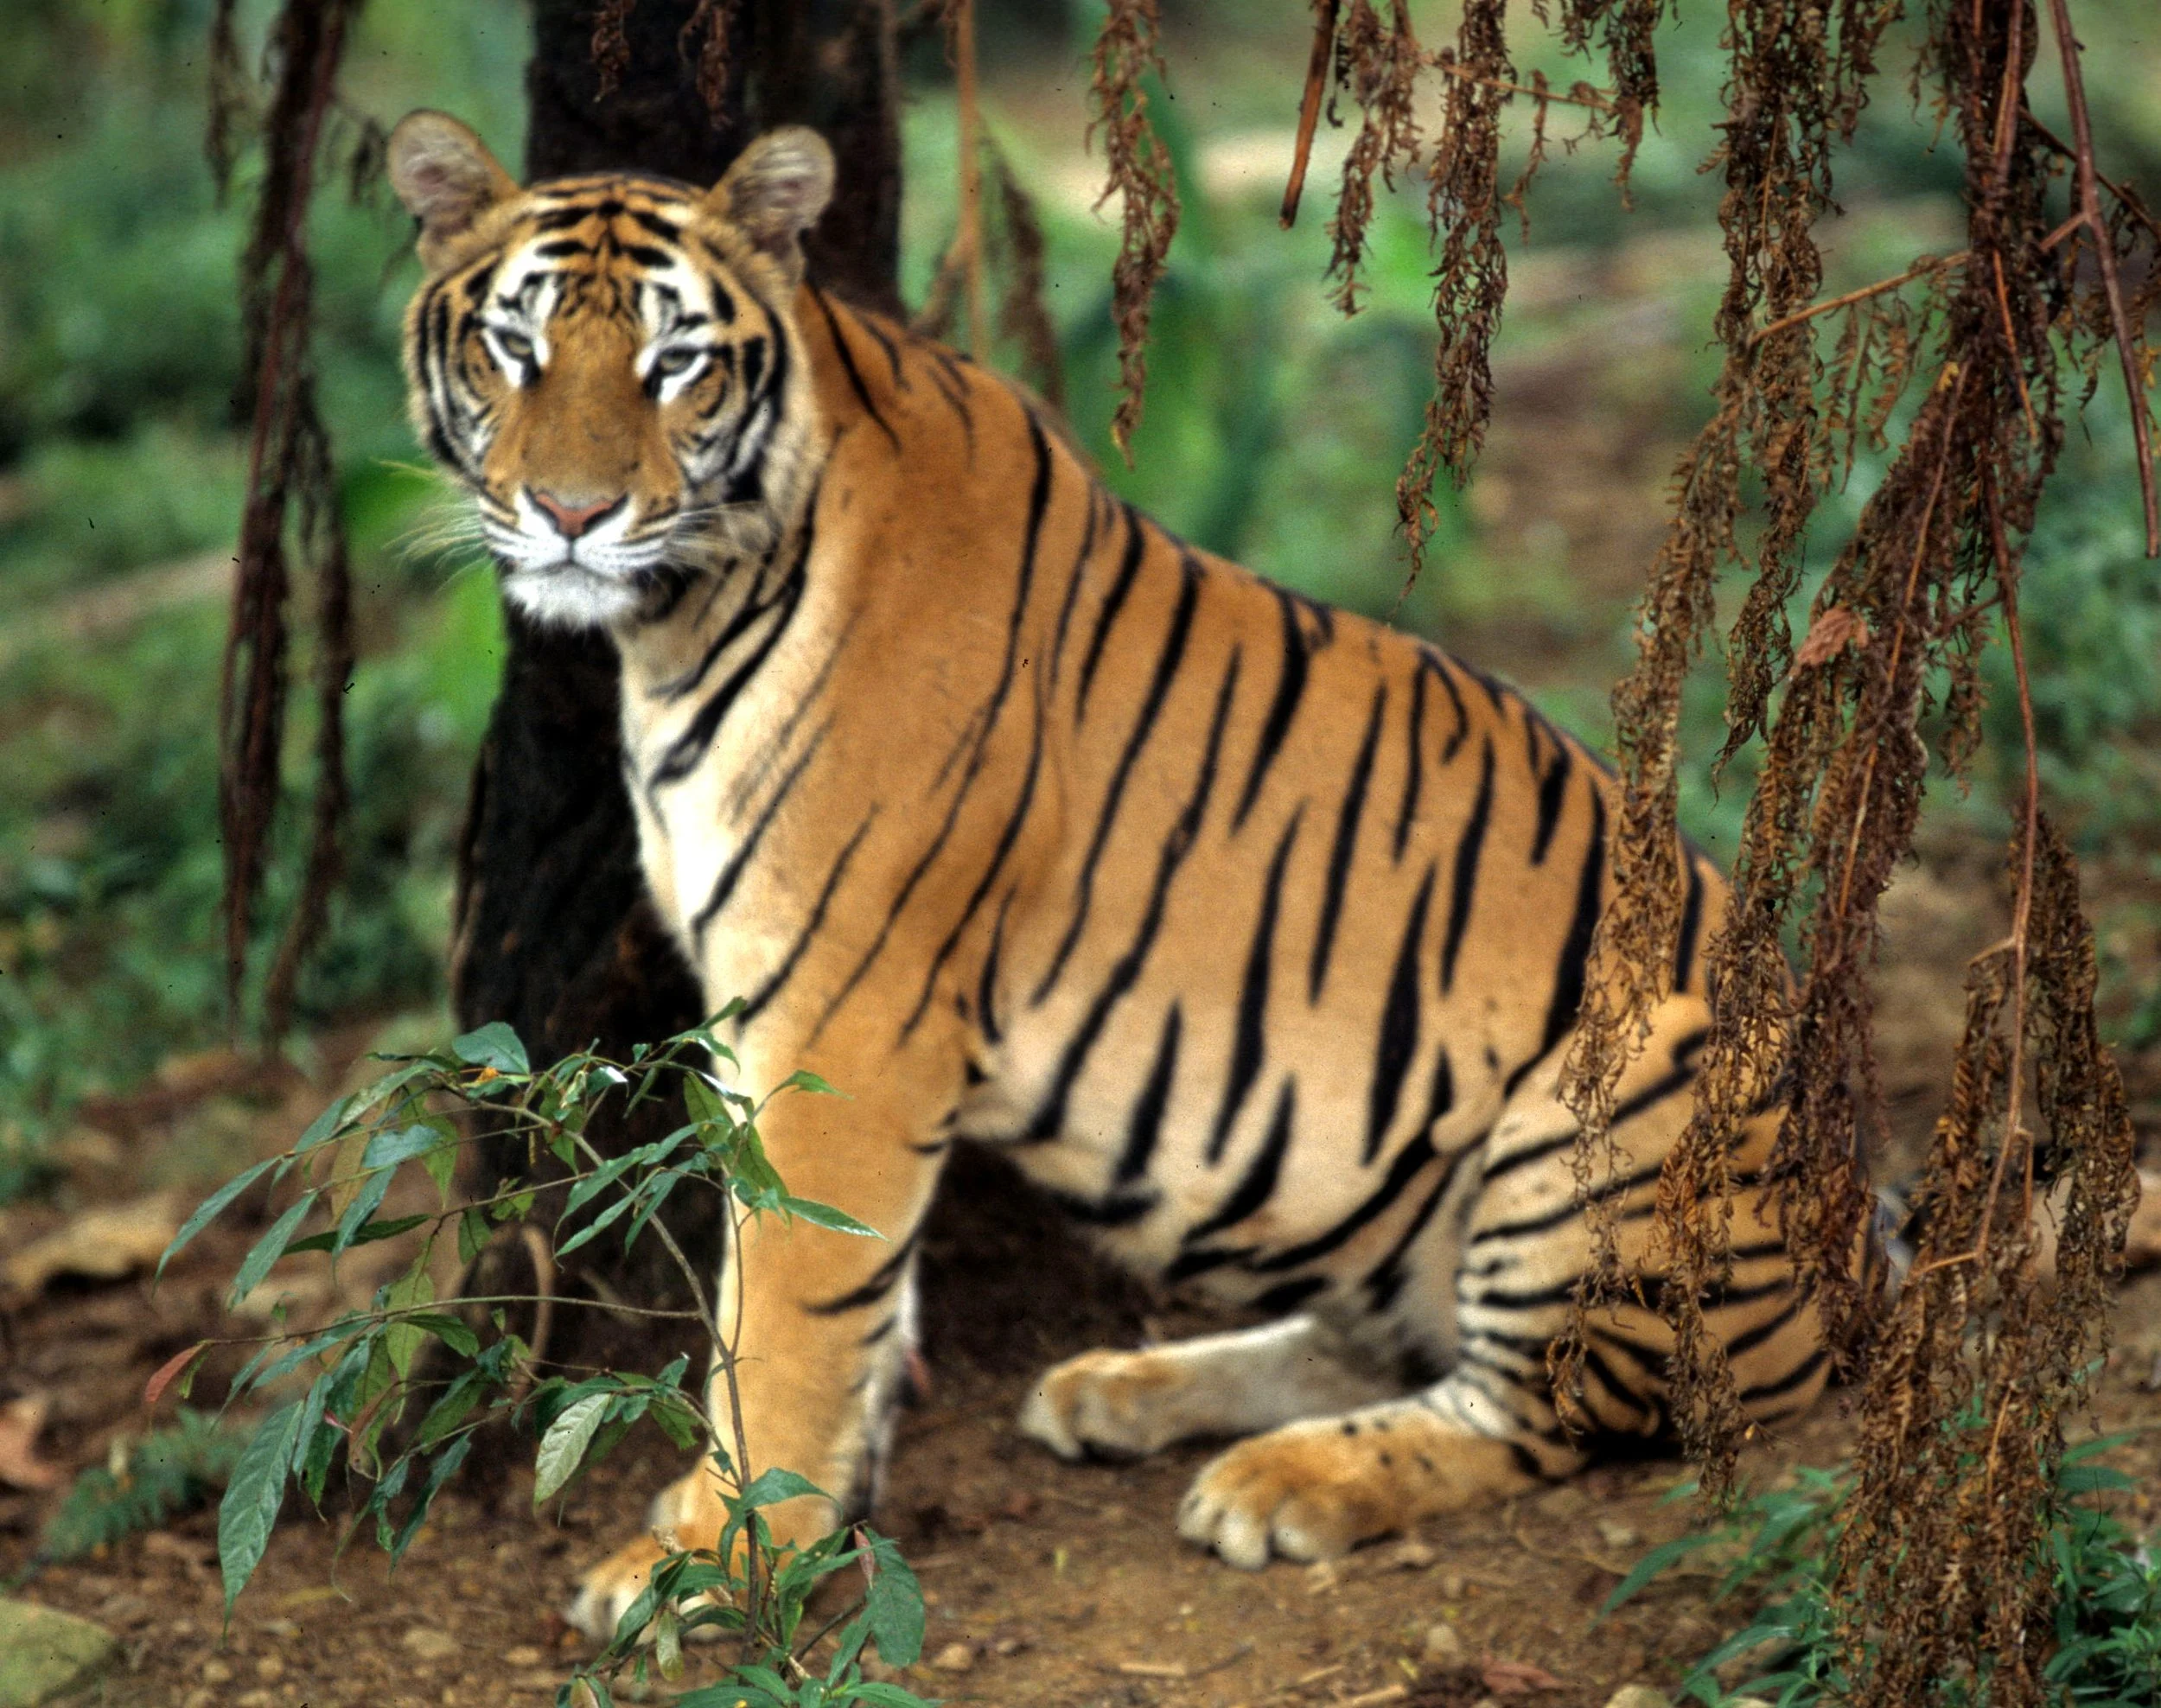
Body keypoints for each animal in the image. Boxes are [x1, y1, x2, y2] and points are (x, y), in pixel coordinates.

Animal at [384, 110, 1838, 1639]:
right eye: (513, 347)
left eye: (676, 364)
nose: (571, 513)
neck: (676, 623)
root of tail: (1859, 1245)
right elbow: (829, 1307)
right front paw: (783, 1511)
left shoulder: (842, 1024)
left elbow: (788, 1311)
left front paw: (725, 1558)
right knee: (1385, 1342)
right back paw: (1121, 1392)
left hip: (1617, 1100)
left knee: (1539, 1410)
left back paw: (1284, 1483)